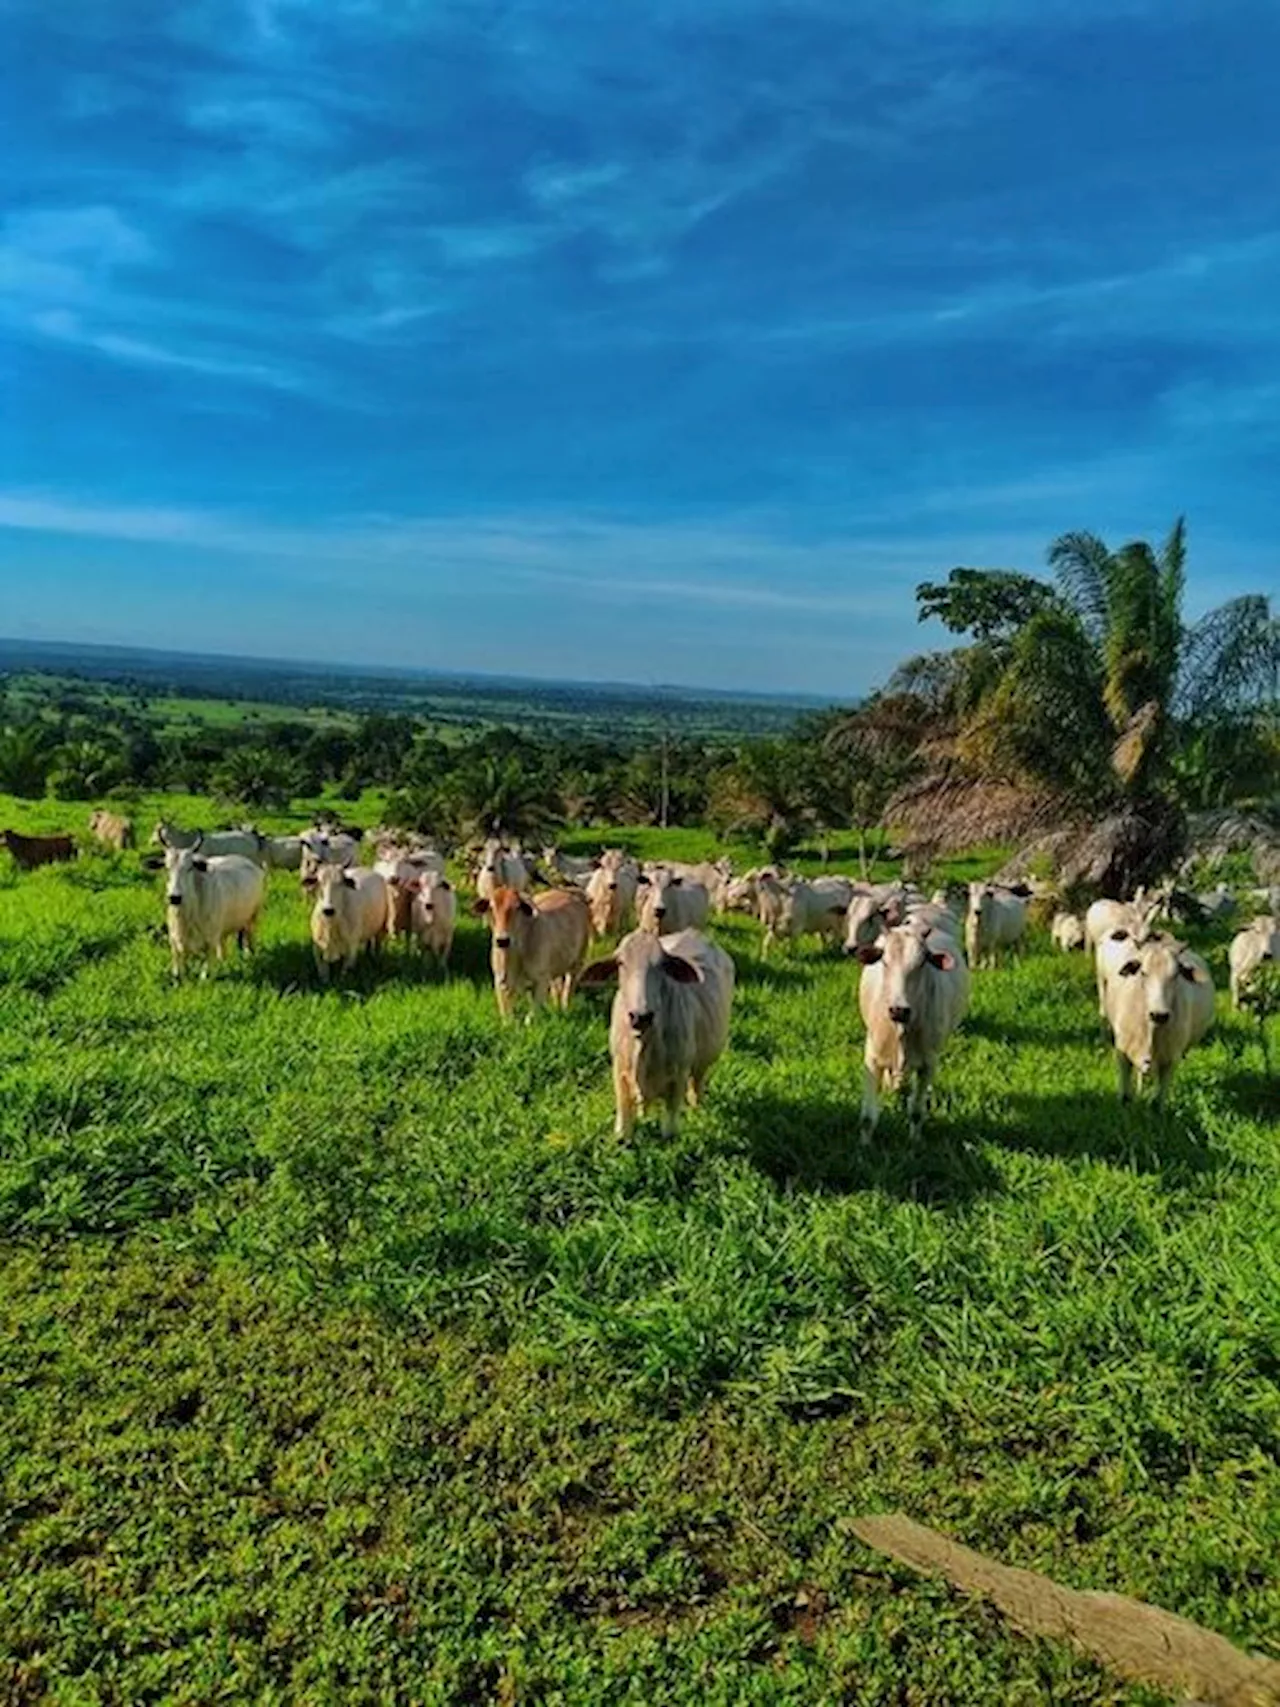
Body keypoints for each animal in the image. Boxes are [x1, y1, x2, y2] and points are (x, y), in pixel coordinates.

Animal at [163, 833, 266, 983]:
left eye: (190, 868)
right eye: (167, 868)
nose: (175, 897)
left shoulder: (210, 939)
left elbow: (205, 970)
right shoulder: (174, 941)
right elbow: (177, 969)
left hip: (253, 917)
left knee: (248, 937)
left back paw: (248, 955)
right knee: (223, 945)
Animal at [583, 928, 737, 1140]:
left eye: (663, 965)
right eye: (620, 963)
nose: (641, 1016)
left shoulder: (678, 1077)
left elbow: (669, 1132)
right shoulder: (619, 1071)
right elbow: (623, 1124)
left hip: (703, 1061)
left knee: (696, 1084)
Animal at [856, 928, 969, 1140]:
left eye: (922, 963)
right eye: (885, 961)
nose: (899, 1010)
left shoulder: (928, 1064)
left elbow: (916, 1112)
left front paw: (914, 1141)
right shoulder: (872, 1058)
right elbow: (867, 1118)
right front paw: (864, 1144)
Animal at [1105, 935, 1215, 1106]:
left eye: (1176, 975)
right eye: (1143, 973)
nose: (1159, 1015)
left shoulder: (1170, 1060)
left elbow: (1157, 1102)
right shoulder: (1122, 1053)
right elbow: (1125, 1097)